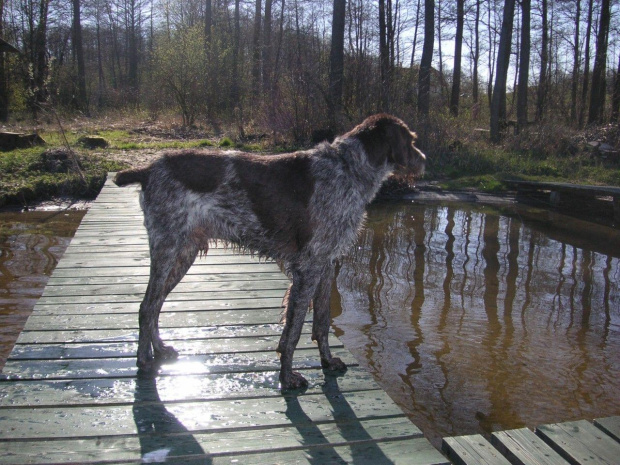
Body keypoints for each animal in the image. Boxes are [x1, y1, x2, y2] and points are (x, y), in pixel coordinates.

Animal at [114, 114, 426, 390]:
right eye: (410, 141)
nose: (424, 160)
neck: (349, 169)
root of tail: (149, 169)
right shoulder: (308, 267)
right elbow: (294, 331)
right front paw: (286, 378)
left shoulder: (326, 264)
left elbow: (321, 322)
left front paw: (326, 361)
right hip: (168, 250)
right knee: (147, 307)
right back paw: (144, 360)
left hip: (183, 254)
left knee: (155, 305)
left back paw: (159, 349)